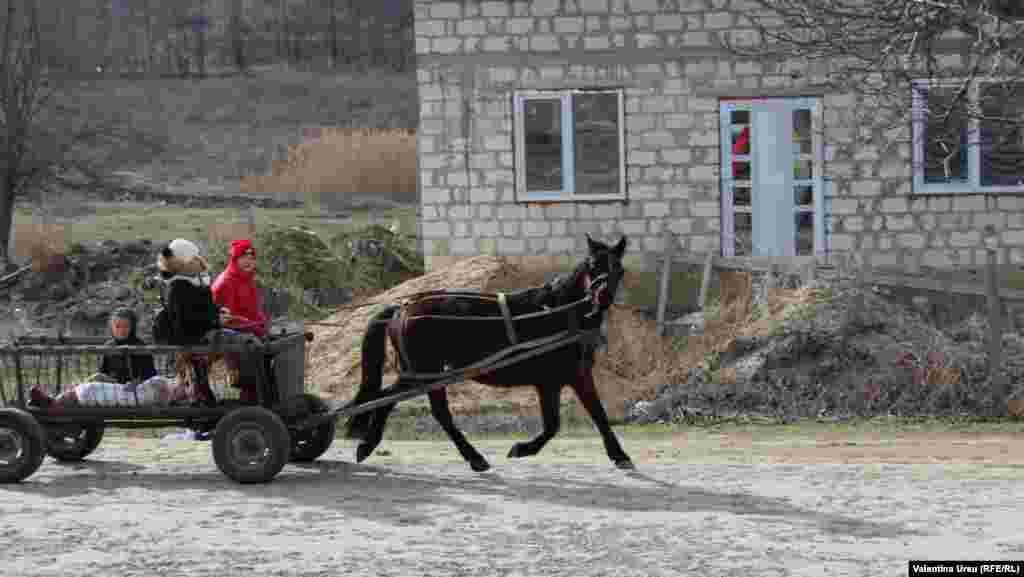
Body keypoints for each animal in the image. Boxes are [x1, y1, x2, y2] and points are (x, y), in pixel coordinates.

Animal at [346, 234, 630, 473]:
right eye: (592, 265)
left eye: (619, 269)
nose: (603, 298)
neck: (560, 311)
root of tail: (402, 308)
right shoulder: (560, 379)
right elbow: (577, 420)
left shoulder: (565, 378)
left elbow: (580, 418)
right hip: (426, 373)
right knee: (425, 409)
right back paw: (472, 456)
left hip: (418, 373)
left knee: (389, 400)